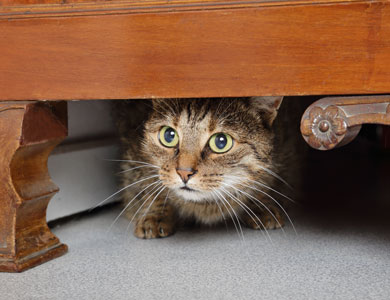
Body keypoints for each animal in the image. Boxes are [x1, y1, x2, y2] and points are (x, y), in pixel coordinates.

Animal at [112, 97, 304, 238]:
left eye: (221, 142)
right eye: (169, 135)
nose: (184, 173)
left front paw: (261, 205)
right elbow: (149, 184)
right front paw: (155, 214)